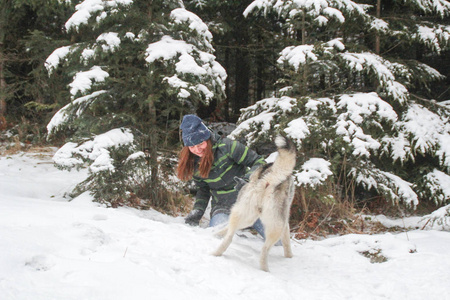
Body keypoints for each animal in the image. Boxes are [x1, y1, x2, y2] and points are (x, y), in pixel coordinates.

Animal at [213, 136, 298, 272]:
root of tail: (268, 178)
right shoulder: (285, 224)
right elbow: (287, 243)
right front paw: (289, 257)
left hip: (246, 217)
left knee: (229, 235)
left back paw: (216, 252)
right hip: (275, 225)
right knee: (265, 249)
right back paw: (265, 270)